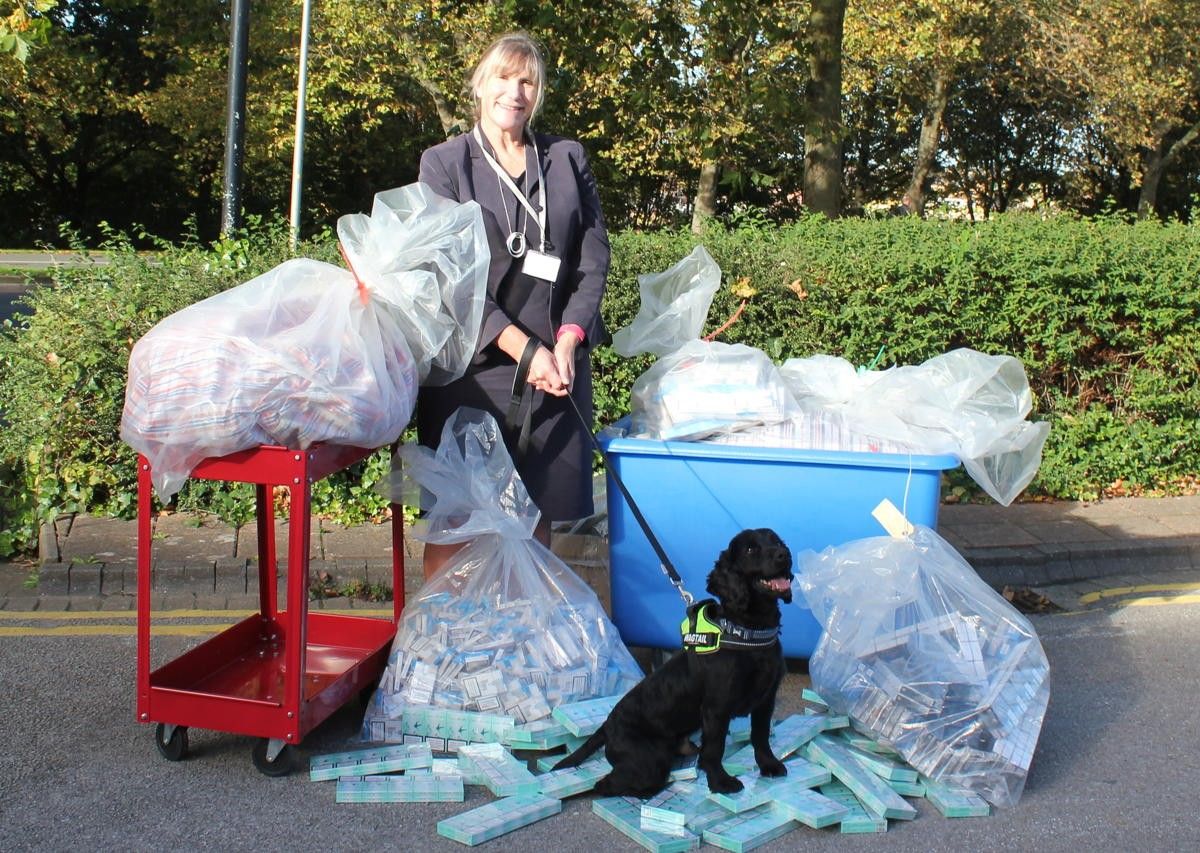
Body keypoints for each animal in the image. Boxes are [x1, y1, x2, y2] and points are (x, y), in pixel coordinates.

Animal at [554, 527, 796, 801]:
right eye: (751, 549)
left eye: (776, 541)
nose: (784, 555)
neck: (748, 632)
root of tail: (607, 726)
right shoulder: (716, 708)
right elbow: (715, 748)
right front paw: (720, 782)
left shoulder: (766, 700)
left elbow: (761, 736)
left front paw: (769, 765)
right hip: (649, 760)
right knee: (605, 784)